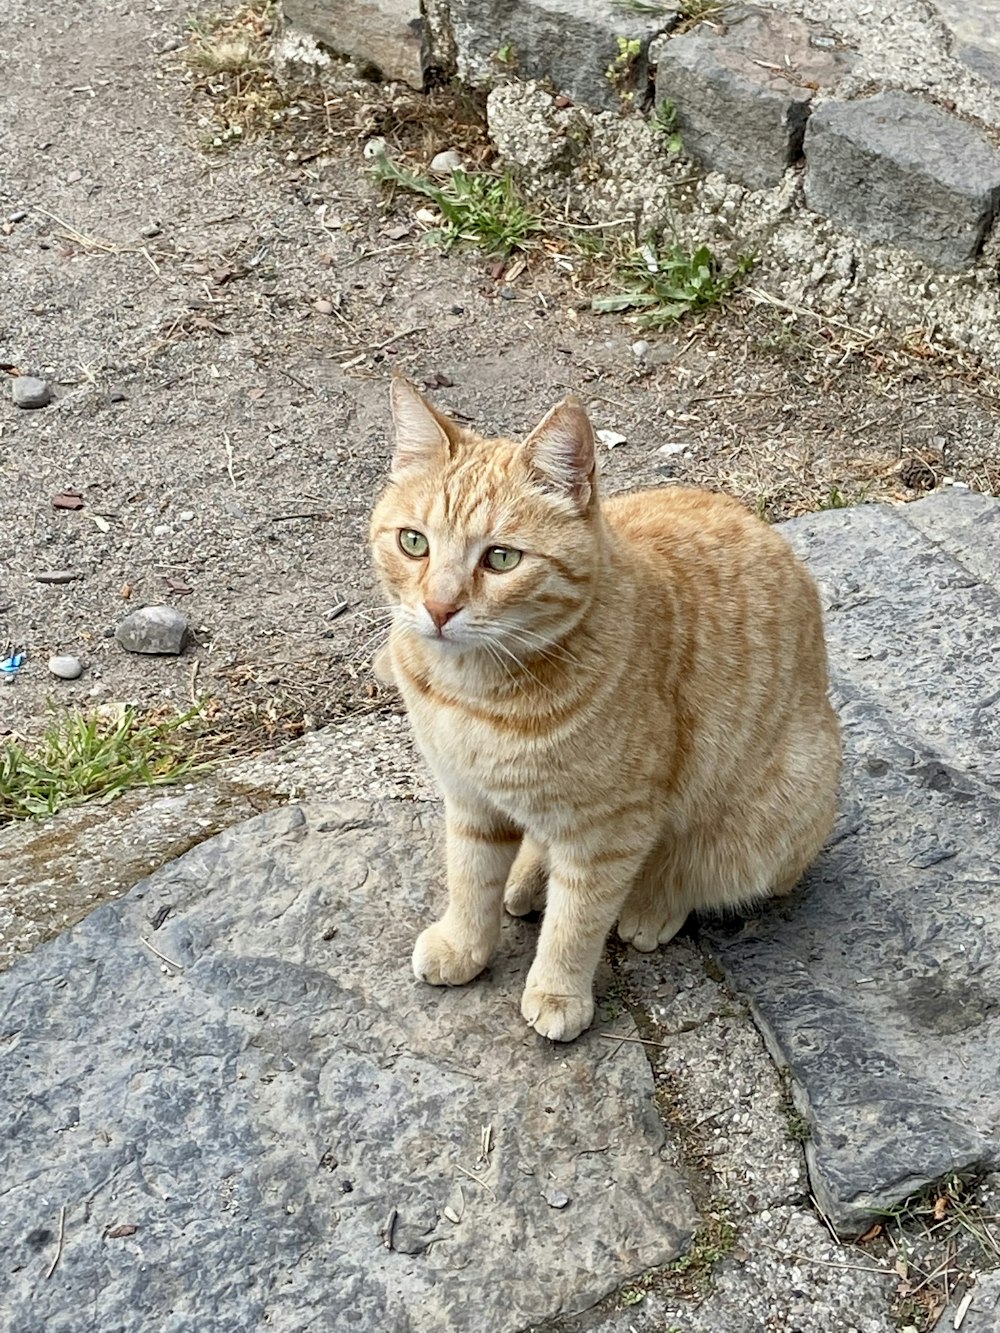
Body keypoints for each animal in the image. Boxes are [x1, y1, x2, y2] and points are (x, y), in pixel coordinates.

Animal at [373, 375, 842, 1039]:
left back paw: (652, 906)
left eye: (501, 558)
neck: (470, 694)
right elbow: (469, 879)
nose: (439, 609)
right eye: (414, 543)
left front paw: (558, 992)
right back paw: (526, 879)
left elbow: (576, 922)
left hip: (773, 809)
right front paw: (465, 944)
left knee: (705, 873)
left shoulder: (610, 830)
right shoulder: (468, 800)